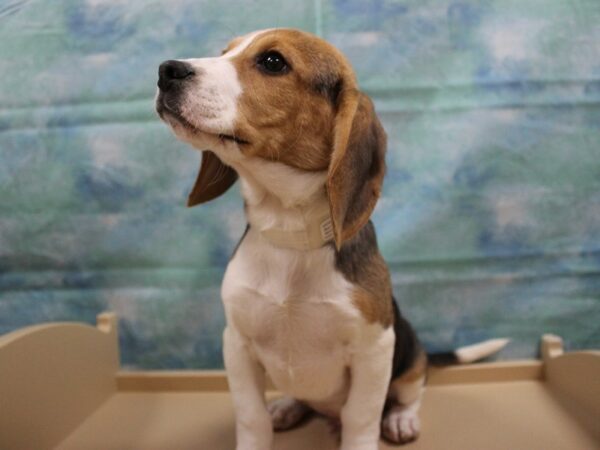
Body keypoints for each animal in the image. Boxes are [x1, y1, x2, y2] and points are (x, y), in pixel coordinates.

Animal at [156, 28, 506, 450]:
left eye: (273, 62)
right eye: (225, 52)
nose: (166, 70)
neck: (290, 231)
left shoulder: (374, 349)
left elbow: (361, 417)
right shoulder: (237, 344)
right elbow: (251, 417)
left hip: (409, 353)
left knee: (411, 390)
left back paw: (401, 419)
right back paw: (288, 406)